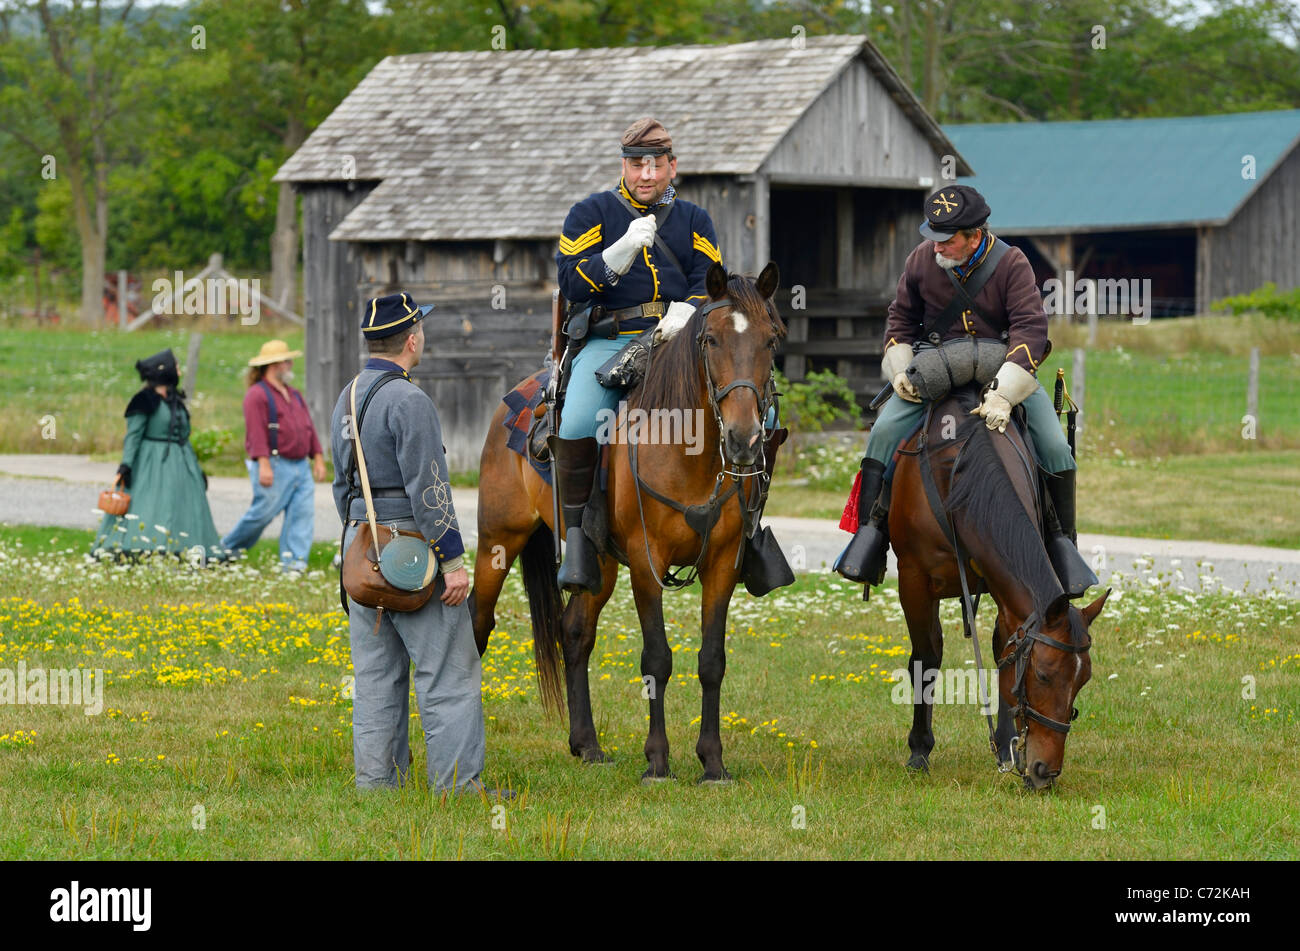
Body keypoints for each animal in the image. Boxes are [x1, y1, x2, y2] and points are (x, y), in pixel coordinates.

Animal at [473, 263, 785, 784]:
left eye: (771, 339)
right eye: (711, 340)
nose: (743, 440)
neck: (688, 448)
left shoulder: (722, 564)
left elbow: (712, 661)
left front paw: (712, 762)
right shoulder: (646, 561)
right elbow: (657, 658)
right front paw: (657, 760)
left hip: (597, 561)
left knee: (575, 632)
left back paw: (587, 744)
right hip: (497, 540)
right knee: (477, 623)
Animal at [889, 381, 1112, 789]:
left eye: (1083, 679)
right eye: (1043, 675)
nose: (1045, 772)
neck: (959, 477)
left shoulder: (1003, 590)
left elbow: (1002, 652)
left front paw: (1007, 745)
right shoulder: (913, 581)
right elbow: (925, 658)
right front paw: (919, 750)